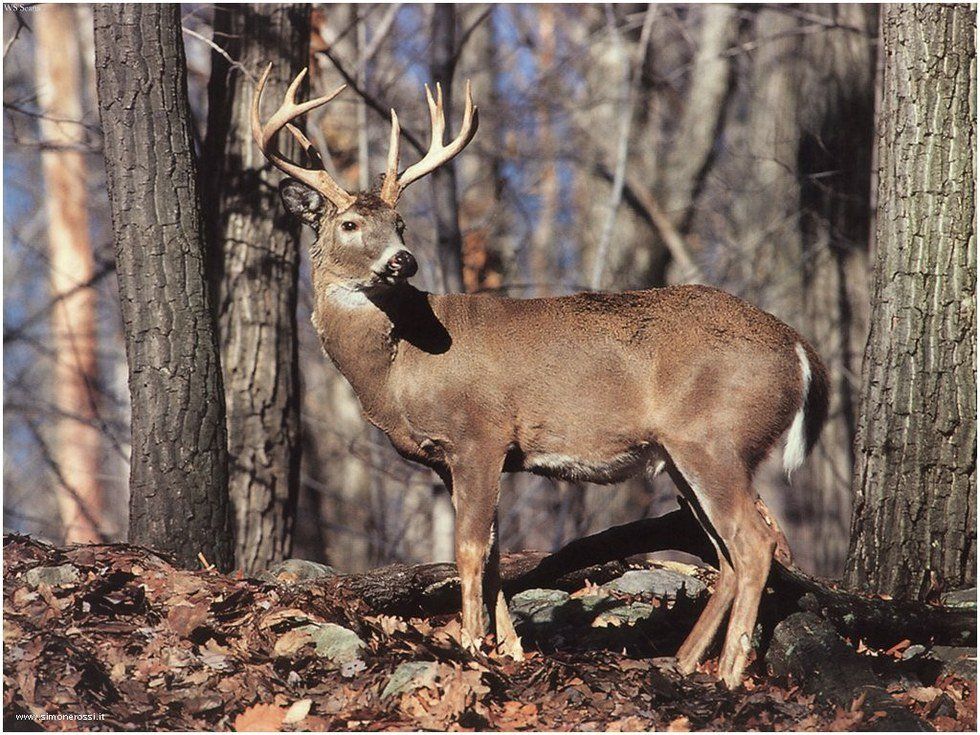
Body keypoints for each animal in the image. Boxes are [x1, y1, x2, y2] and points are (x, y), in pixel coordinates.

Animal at [251, 65, 830, 689]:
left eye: (401, 222)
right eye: (351, 223)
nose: (402, 260)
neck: (398, 367)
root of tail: (800, 348)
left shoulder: (480, 435)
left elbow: (470, 549)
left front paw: (471, 647)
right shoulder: (455, 459)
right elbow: (495, 555)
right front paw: (510, 649)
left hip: (715, 436)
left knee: (755, 543)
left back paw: (726, 673)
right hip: (683, 455)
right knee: (724, 553)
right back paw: (680, 662)